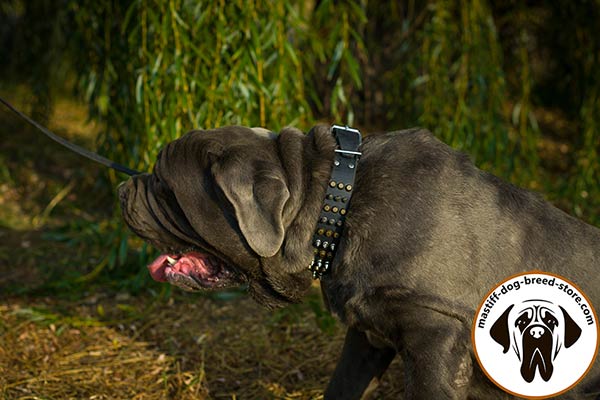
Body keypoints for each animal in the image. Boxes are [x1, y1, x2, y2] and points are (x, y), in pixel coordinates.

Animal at [118, 124, 600, 396]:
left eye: (163, 186)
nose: (122, 189)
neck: (334, 204)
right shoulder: (367, 336)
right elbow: (341, 388)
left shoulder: (436, 338)